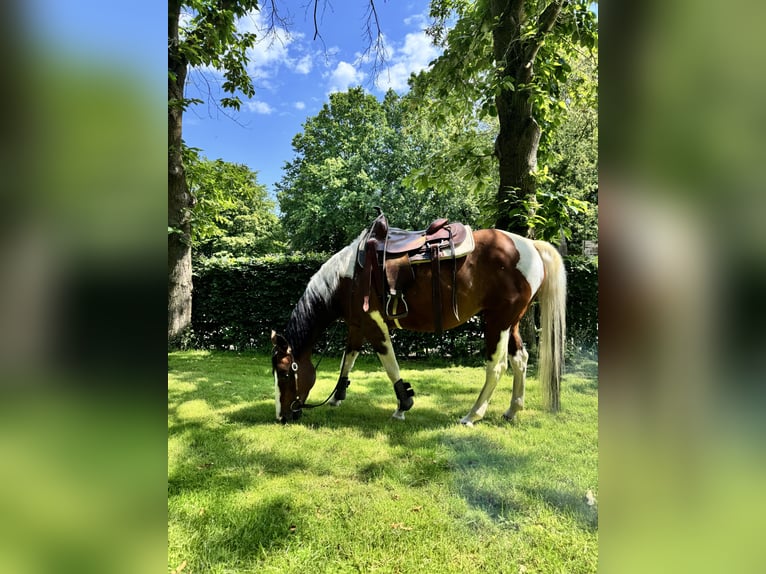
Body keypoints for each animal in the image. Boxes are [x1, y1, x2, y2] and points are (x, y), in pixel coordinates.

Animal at [271, 216, 566, 426]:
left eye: (285, 372)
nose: (282, 416)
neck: (349, 277)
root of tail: (530, 246)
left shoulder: (374, 324)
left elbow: (389, 364)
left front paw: (403, 406)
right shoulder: (357, 325)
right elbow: (349, 359)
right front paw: (337, 397)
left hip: (497, 321)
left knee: (497, 366)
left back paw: (472, 415)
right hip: (510, 321)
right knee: (520, 360)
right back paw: (512, 410)